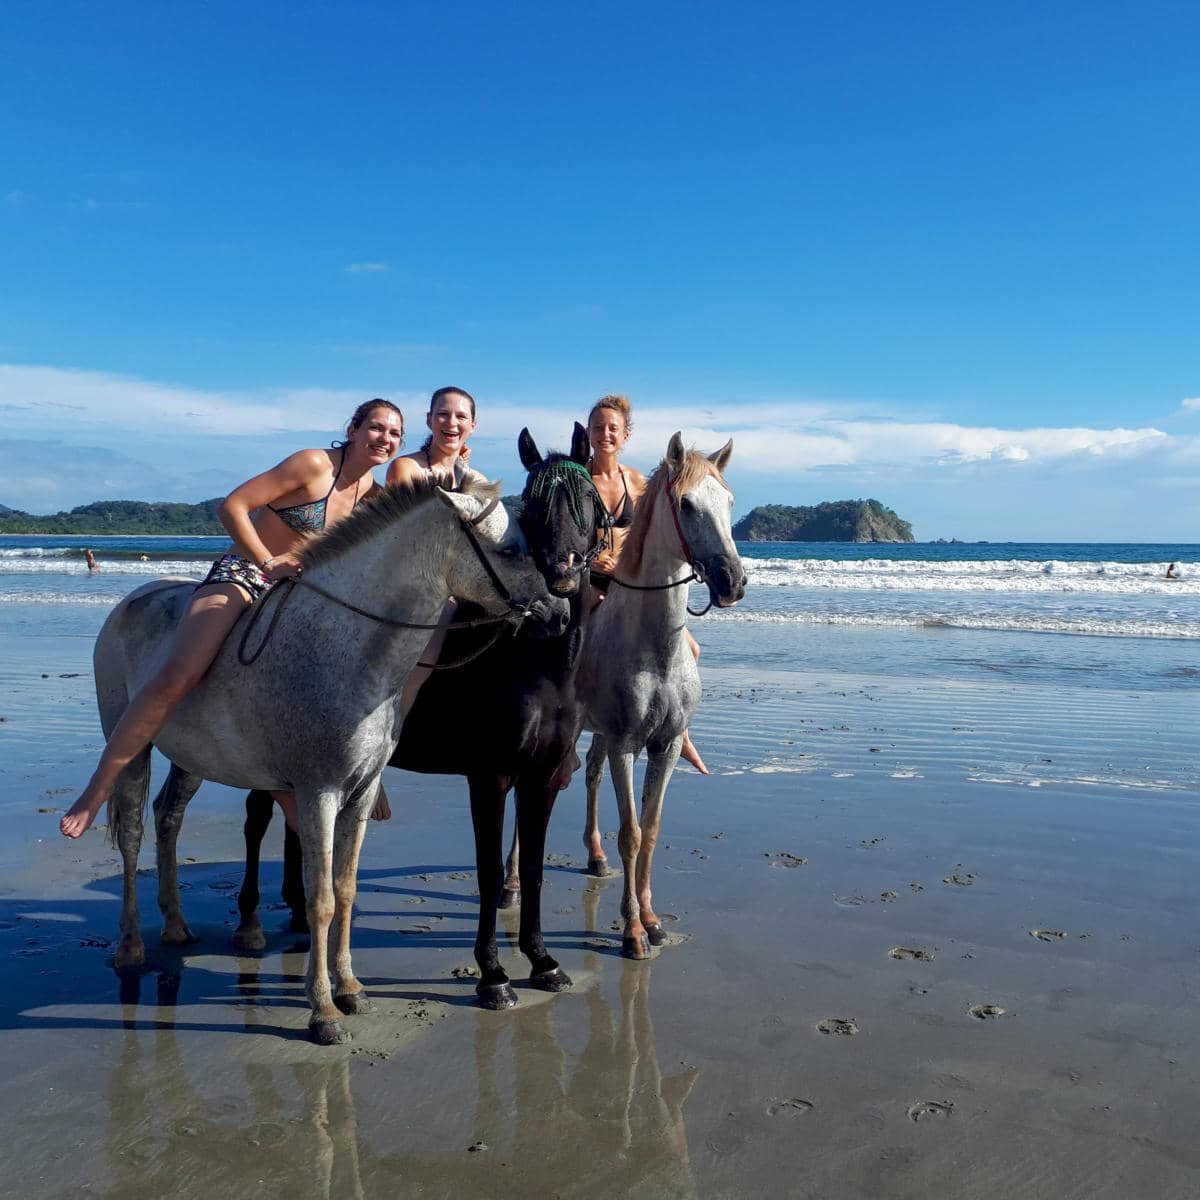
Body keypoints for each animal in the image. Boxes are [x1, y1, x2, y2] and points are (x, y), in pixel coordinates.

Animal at [91, 477, 568, 1041]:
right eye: (512, 549)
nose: (559, 613)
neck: (350, 651)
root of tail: (131, 600)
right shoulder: (319, 792)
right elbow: (318, 900)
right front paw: (322, 1010)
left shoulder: (360, 793)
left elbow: (344, 889)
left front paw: (351, 989)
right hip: (132, 749)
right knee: (132, 836)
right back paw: (131, 947)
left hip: (190, 759)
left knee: (168, 818)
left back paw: (176, 925)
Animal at [236, 427, 609, 1008]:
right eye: (532, 507)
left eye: (588, 498)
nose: (563, 579)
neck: (535, 664)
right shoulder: (490, 775)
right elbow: (487, 872)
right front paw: (493, 975)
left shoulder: (541, 776)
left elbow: (532, 867)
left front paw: (542, 960)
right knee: (258, 819)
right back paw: (252, 921)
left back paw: (297, 911)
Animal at [578, 436, 744, 960]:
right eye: (687, 505)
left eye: (729, 502)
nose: (733, 581)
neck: (655, 650)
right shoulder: (626, 746)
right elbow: (631, 833)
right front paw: (632, 932)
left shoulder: (665, 746)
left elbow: (650, 830)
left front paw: (651, 921)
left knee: (589, 775)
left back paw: (595, 856)